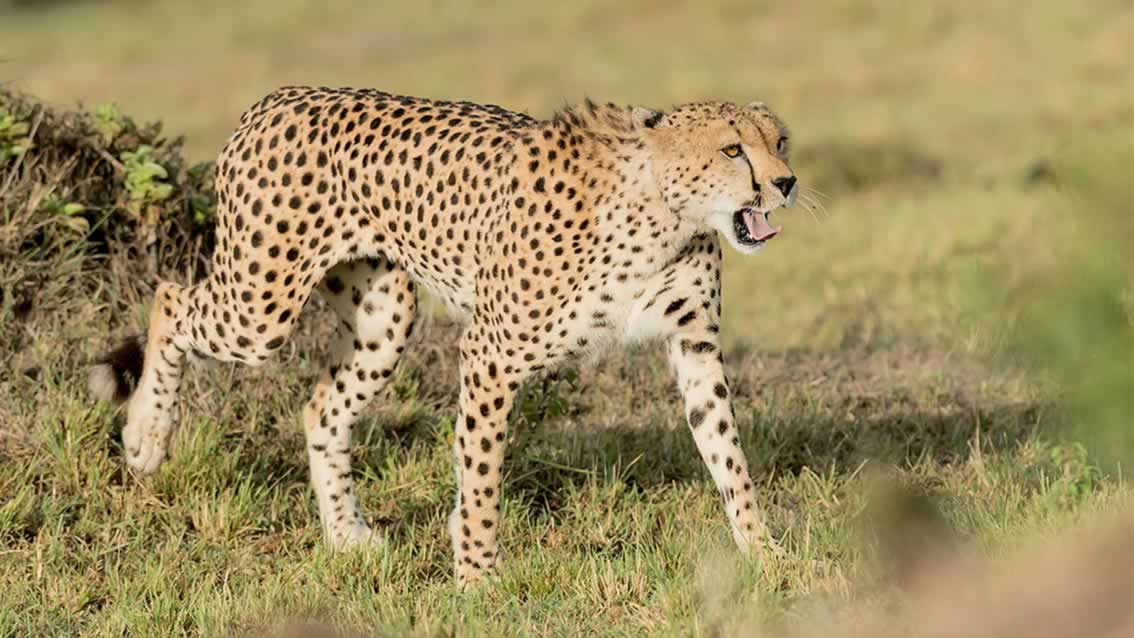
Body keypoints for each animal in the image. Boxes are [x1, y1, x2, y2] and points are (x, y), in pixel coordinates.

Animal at [88, 86, 798, 589]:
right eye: (732, 150)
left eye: (780, 142)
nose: (785, 183)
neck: (662, 215)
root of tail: (277, 98)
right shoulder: (490, 353)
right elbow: (481, 473)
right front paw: (477, 577)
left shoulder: (695, 344)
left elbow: (728, 457)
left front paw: (767, 557)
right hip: (261, 304)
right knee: (171, 299)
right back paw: (145, 436)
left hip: (383, 318)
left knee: (321, 407)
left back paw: (346, 535)